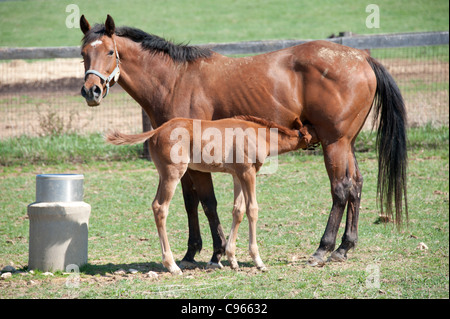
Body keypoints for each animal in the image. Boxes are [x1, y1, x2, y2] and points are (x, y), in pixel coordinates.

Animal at [106, 116, 316, 276]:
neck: (259, 135)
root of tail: (157, 131)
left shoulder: (237, 175)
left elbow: (238, 211)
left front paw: (232, 259)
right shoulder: (248, 172)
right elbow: (252, 210)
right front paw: (258, 261)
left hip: (163, 175)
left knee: (155, 205)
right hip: (173, 173)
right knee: (160, 207)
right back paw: (172, 265)